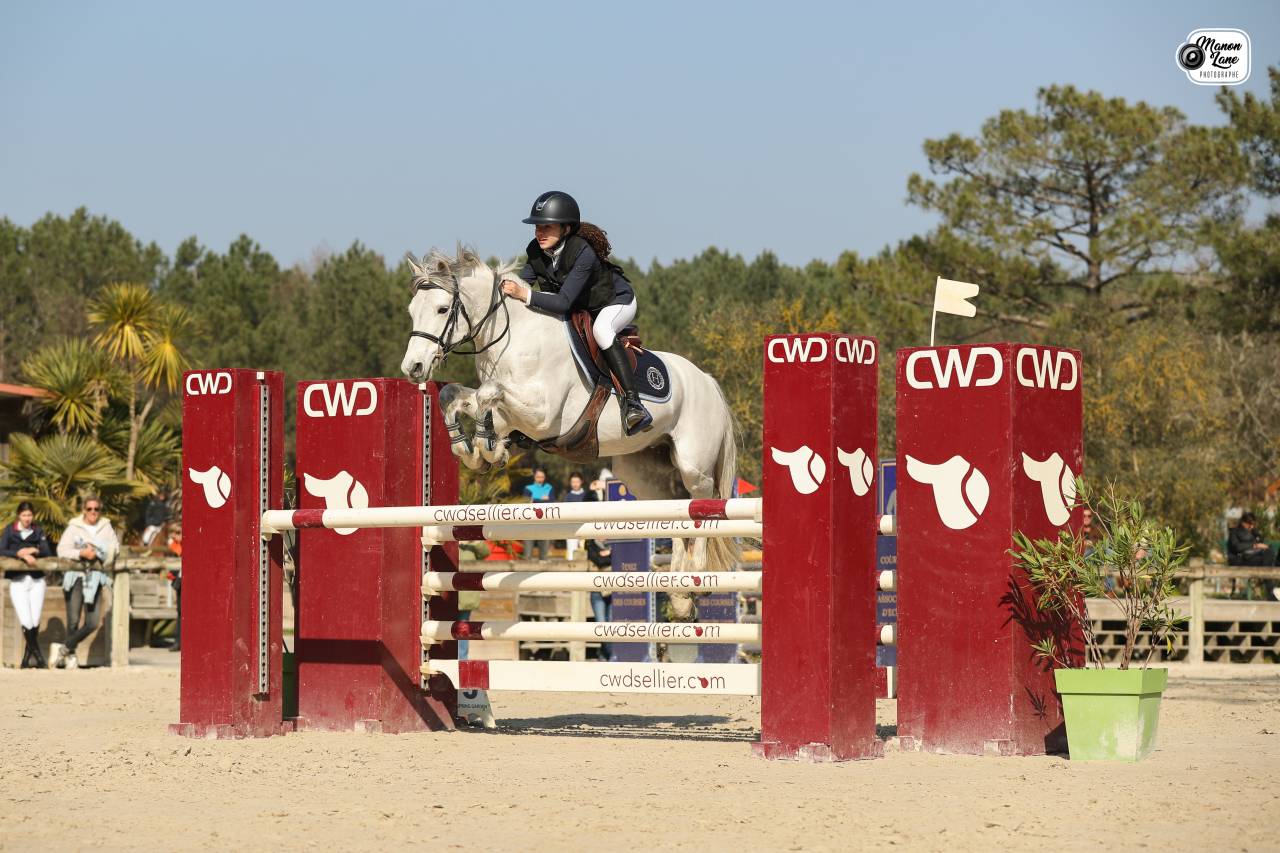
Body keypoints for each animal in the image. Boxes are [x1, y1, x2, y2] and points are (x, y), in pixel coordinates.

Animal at [399, 247, 741, 593]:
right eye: (412, 310)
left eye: (442, 309)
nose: (412, 368)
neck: (515, 338)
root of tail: (708, 381)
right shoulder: (511, 411)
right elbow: (454, 395)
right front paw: (473, 450)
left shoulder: (542, 415)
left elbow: (487, 394)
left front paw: (489, 449)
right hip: (643, 472)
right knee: (676, 511)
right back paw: (679, 589)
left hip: (693, 464)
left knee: (703, 502)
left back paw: (695, 577)